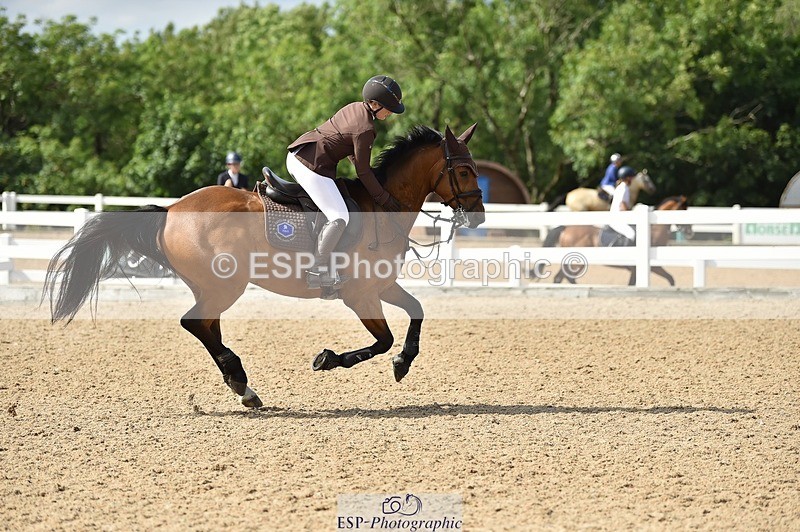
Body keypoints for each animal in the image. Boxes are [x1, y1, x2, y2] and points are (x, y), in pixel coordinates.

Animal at [44, 124, 486, 408]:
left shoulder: (380, 287)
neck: (384, 206)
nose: (479, 216)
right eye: (464, 170)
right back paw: (241, 381)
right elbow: (383, 340)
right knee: (195, 323)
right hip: (225, 285)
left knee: (206, 326)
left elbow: (416, 313)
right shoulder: (360, 295)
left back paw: (242, 386)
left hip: (213, 287)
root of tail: (171, 211)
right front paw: (328, 359)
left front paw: (402, 364)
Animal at [539, 195, 689, 285]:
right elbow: (670, 279)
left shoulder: (640, 269)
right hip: (577, 263)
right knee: (566, 277)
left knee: (560, 277)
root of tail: (566, 228)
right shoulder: (649, 267)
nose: (690, 232)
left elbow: (669, 279)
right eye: (683, 210)